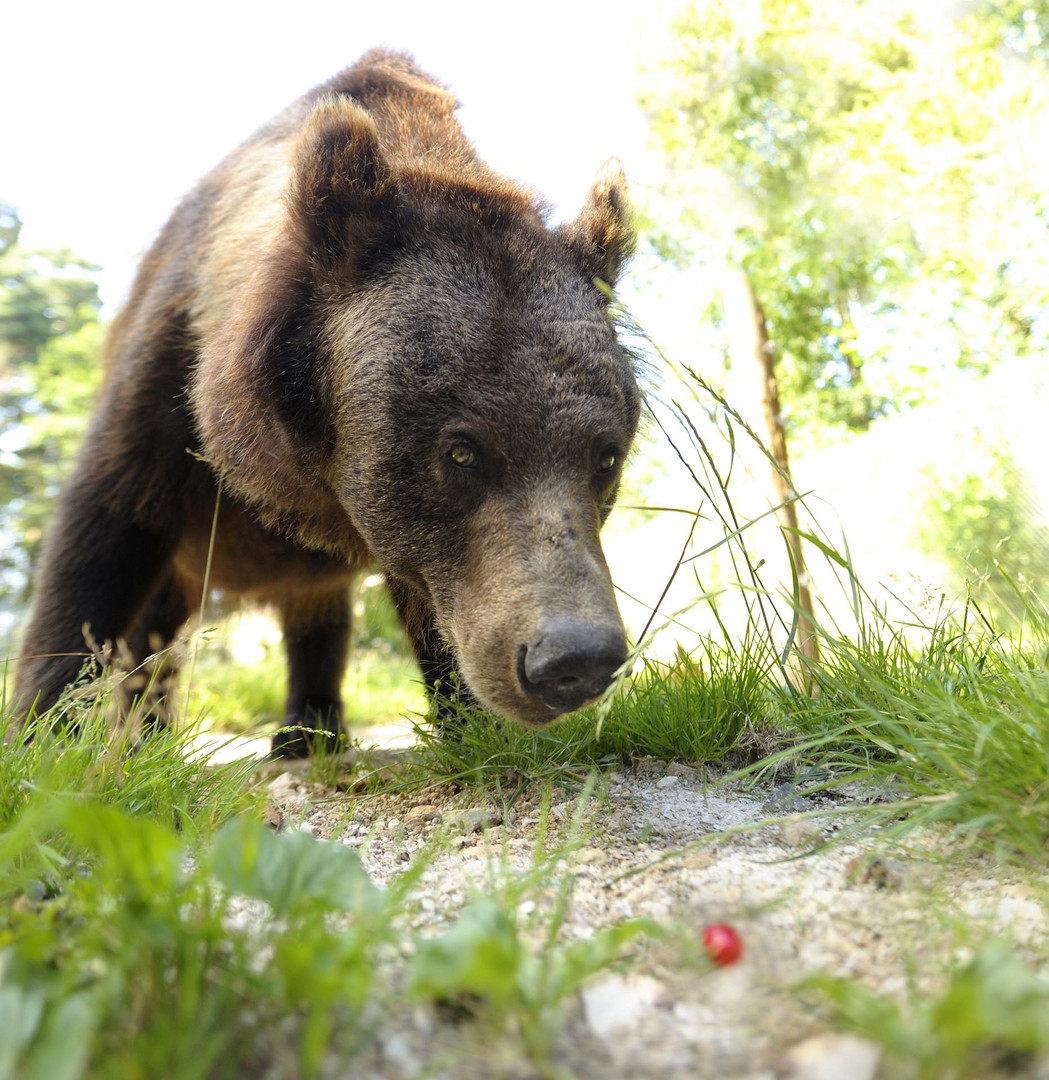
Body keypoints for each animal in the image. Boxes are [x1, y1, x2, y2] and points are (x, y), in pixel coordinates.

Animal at [14, 50, 639, 756]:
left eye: (606, 456)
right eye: (461, 450)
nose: (575, 659)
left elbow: (433, 604)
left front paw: (471, 722)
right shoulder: (165, 372)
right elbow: (99, 538)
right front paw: (41, 734)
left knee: (316, 613)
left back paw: (308, 729)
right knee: (159, 632)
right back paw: (150, 733)